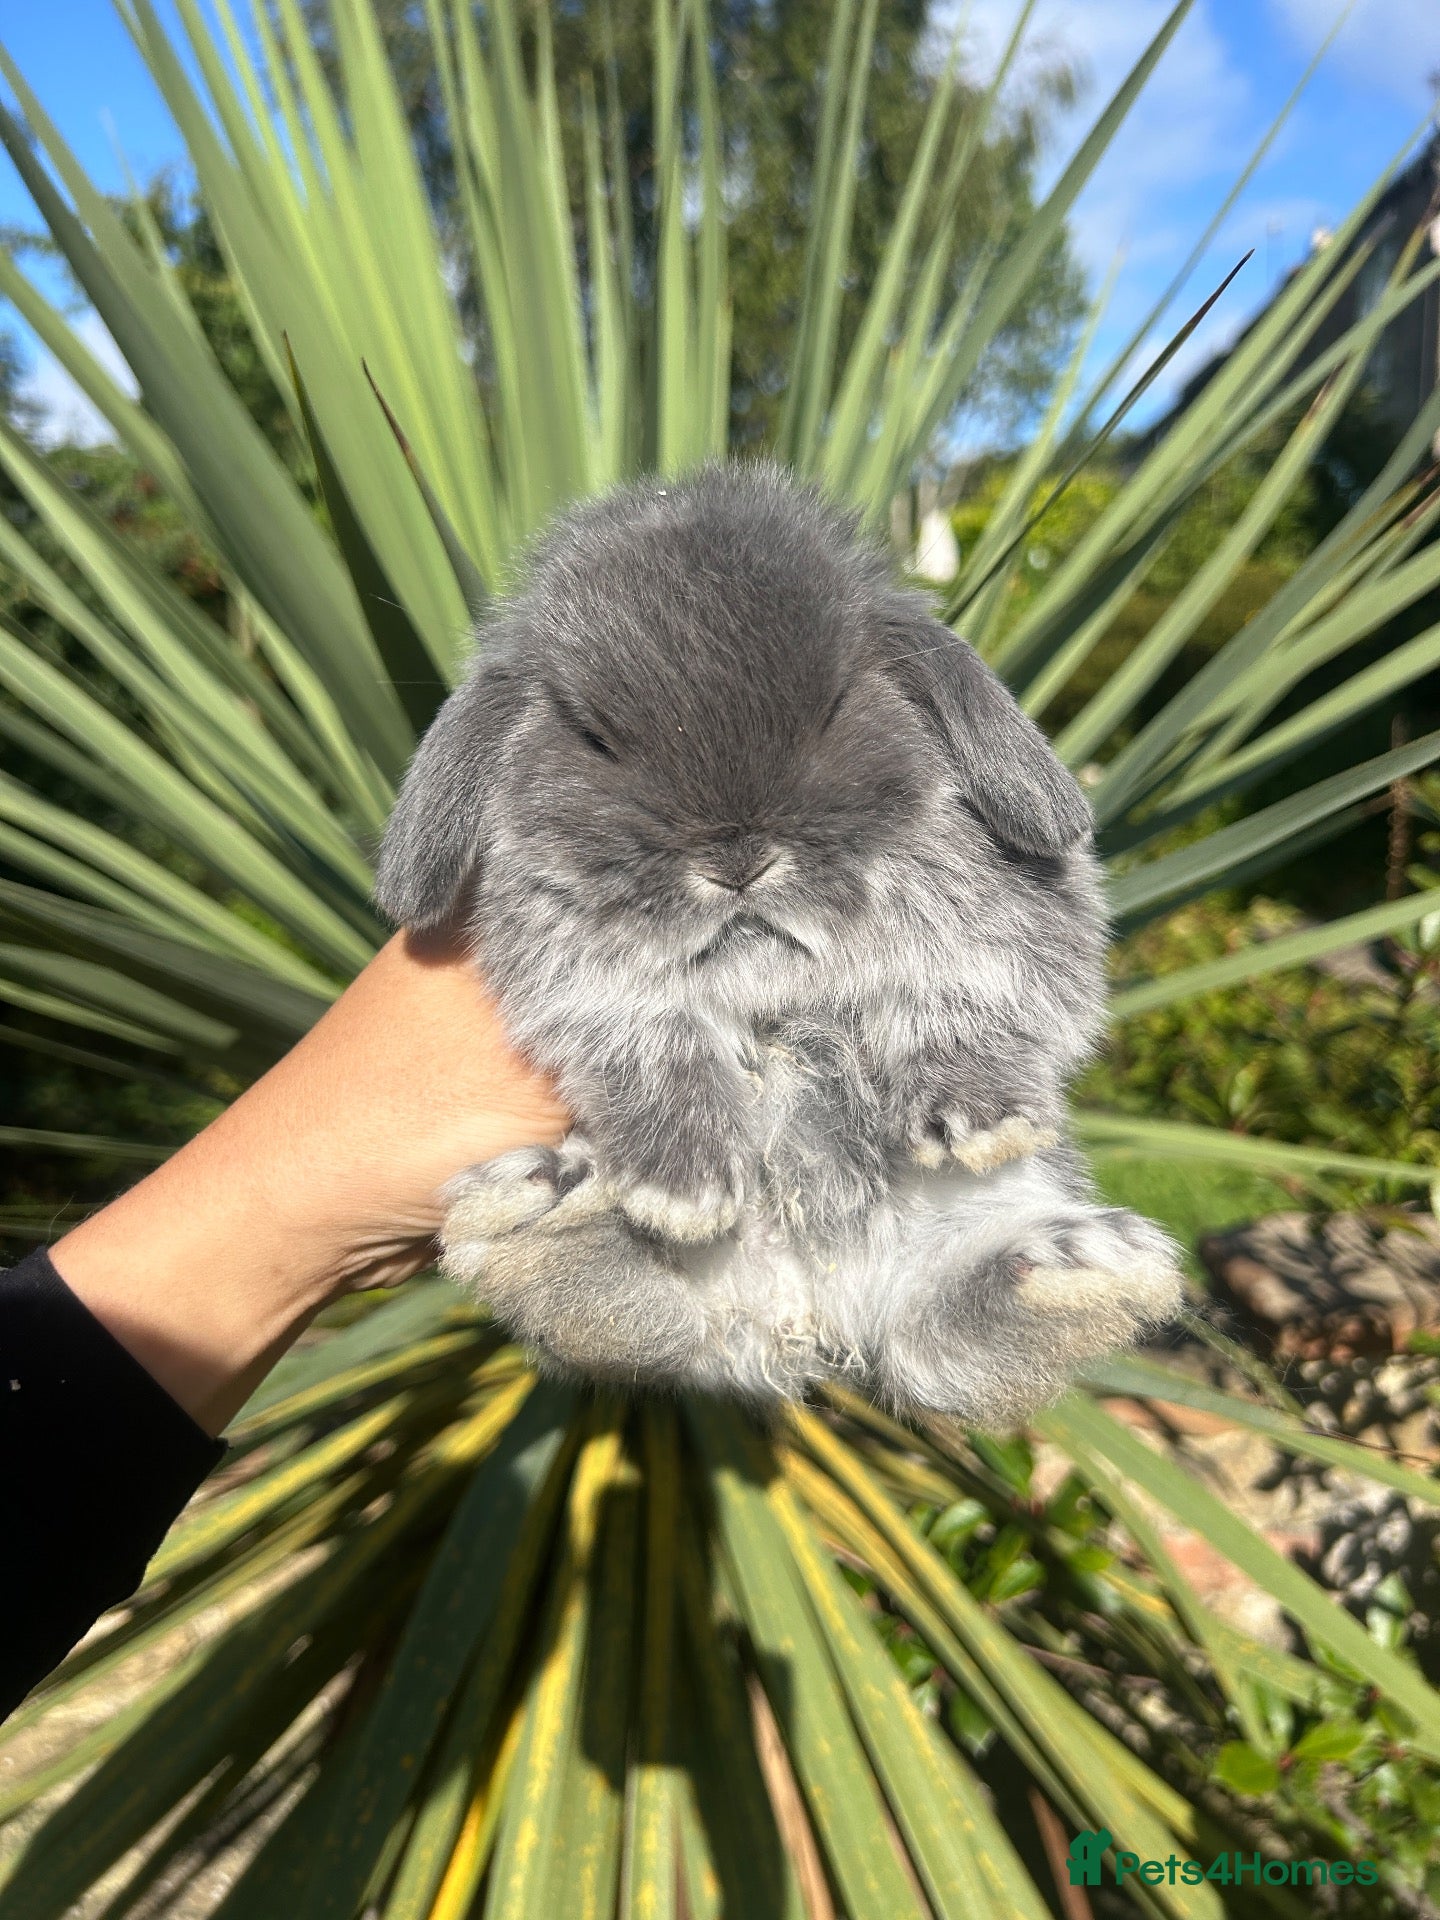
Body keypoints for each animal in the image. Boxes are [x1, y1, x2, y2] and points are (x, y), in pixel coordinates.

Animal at [374, 459, 1184, 1426]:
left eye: (834, 709)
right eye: (595, 738)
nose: (737, 860)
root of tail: (808, 1314)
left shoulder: (1018, 929)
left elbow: (961, 998)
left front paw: (982, 1117)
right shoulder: (578, 984)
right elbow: (653, 1047)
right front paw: (682, 1188)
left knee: (941, 1347)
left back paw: (1077, 1266)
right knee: (645, 1324)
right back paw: (552, 1219)